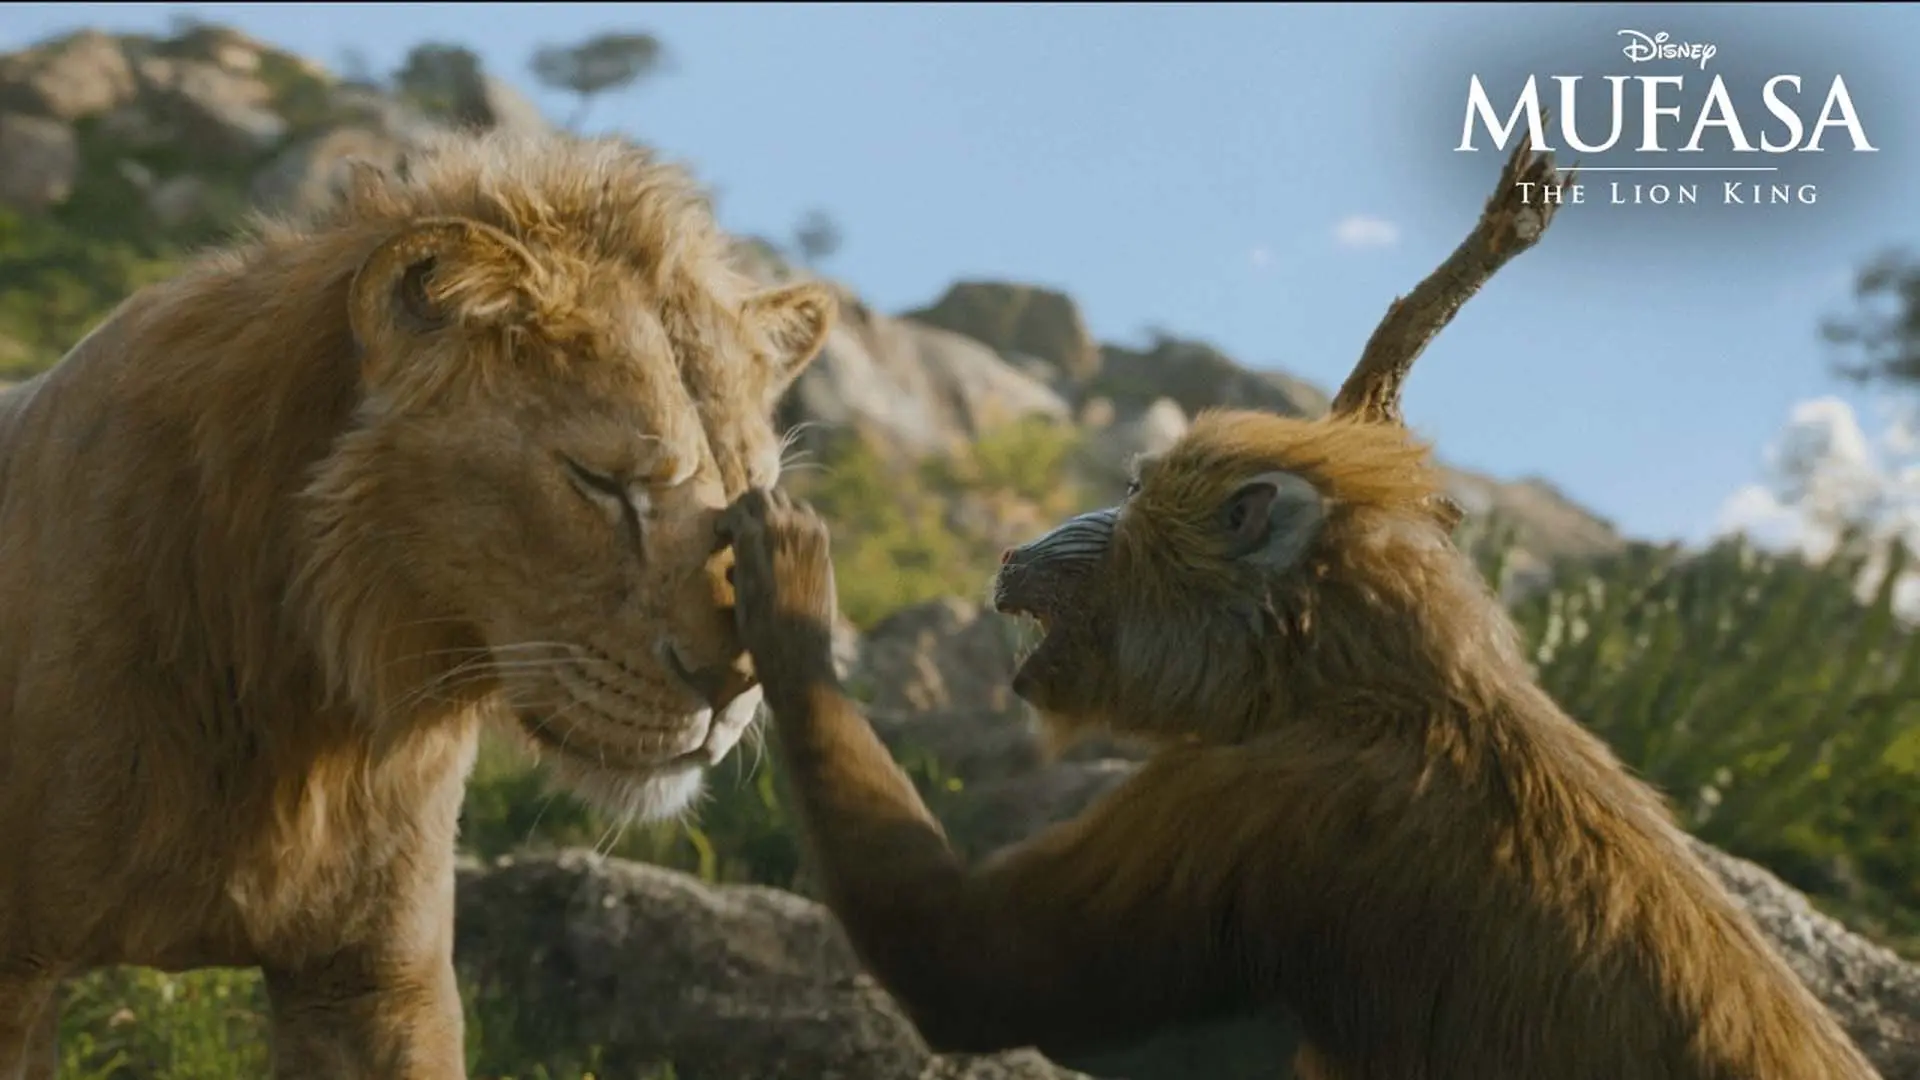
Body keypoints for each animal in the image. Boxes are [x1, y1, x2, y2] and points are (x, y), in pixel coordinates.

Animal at [0, 129, 835, 1078]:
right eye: (600, 481)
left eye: (754, 494)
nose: (733, 687)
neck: (295, 700)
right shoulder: (17, 975)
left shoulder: (376, 982)